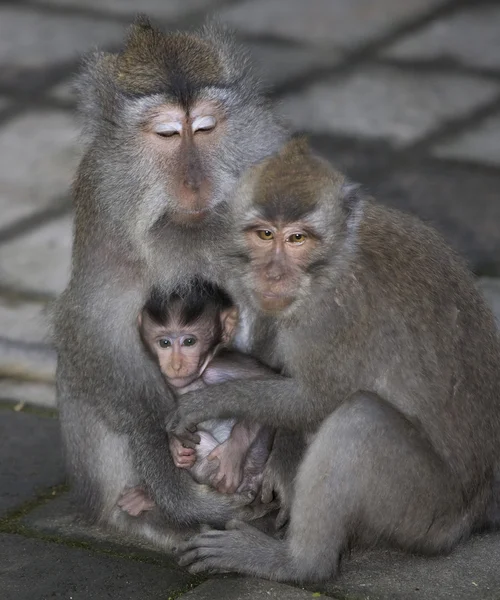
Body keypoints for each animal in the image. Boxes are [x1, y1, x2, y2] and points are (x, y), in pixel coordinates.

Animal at [118, 282, 274, 516]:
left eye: (189, 342)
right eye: (164, 343)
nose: (176, 364)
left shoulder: (218, 367)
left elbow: (275, 384)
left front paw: (232, 452)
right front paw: (176, 448)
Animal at [170, 139, 500, 580]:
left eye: (297, 238)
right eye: (264, 234)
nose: (273, 274)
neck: (333, 260)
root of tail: (475, 512)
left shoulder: (330, 313)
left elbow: (316, 400)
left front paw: (210, 402)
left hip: (426, 511)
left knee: (359, 419)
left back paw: (298, 564)